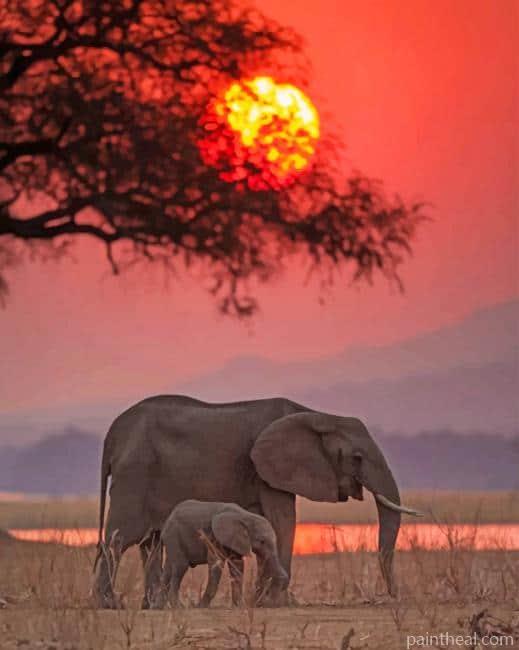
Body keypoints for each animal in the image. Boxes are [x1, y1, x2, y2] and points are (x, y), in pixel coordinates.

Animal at [151, 499, 288, 608]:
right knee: (180, 566)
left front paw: (239, 607)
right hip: (174, 536)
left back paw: (158, 608)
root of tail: (168, 520)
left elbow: (237, 566)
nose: (265, 603)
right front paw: (200, 607)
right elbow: (216, 564)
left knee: (168, 569)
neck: (245, 516)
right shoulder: (213, 536)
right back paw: (179, 607)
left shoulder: (234, 540)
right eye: (262, 541)